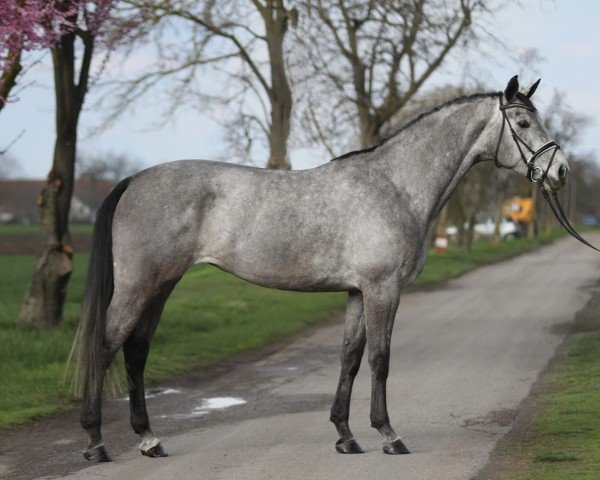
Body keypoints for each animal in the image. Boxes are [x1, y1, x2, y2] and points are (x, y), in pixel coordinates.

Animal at [75, 75, 568, 462]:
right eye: (523, 123)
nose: (560, 170)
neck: (395, 185)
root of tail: (134, 180)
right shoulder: (382, 289)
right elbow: (380, 358)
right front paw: (388, 435)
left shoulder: (357, 292)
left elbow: (350, 357)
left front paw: (346, 436)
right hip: (139, 285)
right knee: (105, 345)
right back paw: (96, 442)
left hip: (161, 285)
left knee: (136, 352)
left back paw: (148, 439)